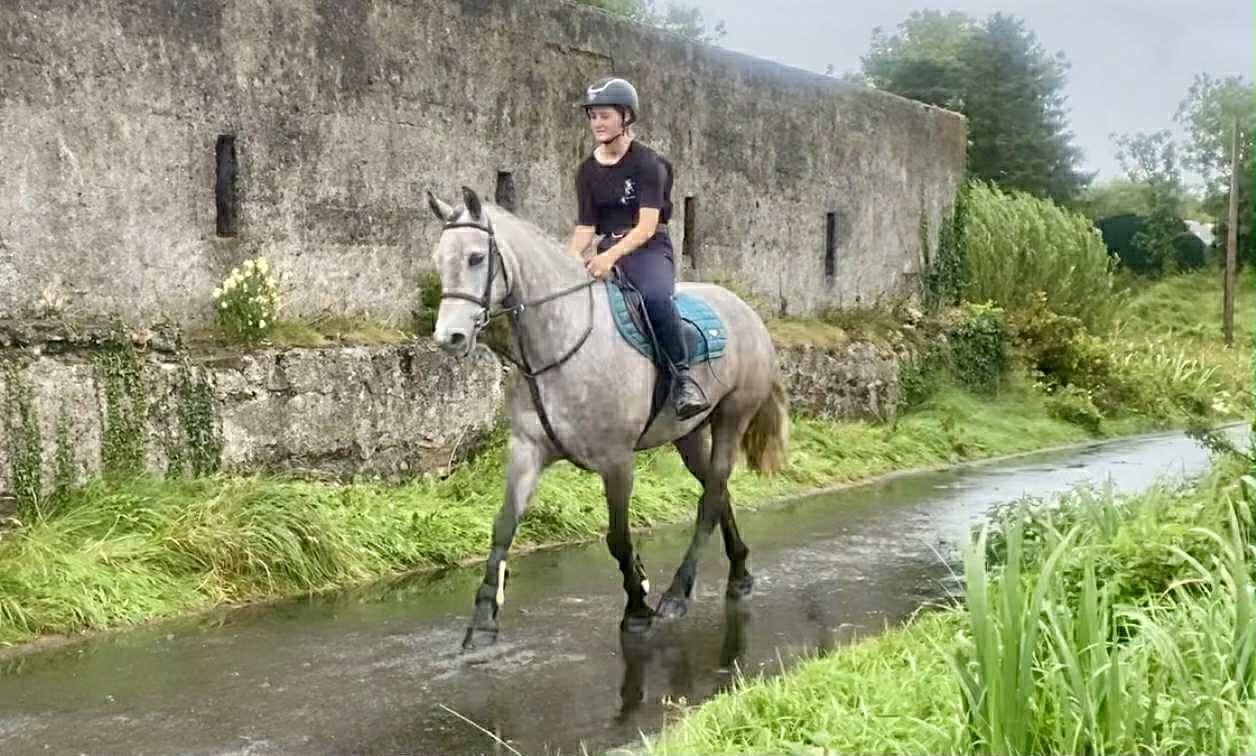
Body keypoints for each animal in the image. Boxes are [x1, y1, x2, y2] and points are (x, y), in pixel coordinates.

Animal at [425, 186, 790, 649]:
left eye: (475, 257)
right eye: (439, 259)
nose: (449, 338)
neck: (559, 341)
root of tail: (746, 311)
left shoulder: (616, 461)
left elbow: (617, 536)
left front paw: (638, 606)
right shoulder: (527, 450)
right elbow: (503, 528)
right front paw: (483, 620)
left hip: (732, 417)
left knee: (711, 498)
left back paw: (677, 594)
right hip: (687, 434)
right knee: (716, 488)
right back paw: (739, 573)